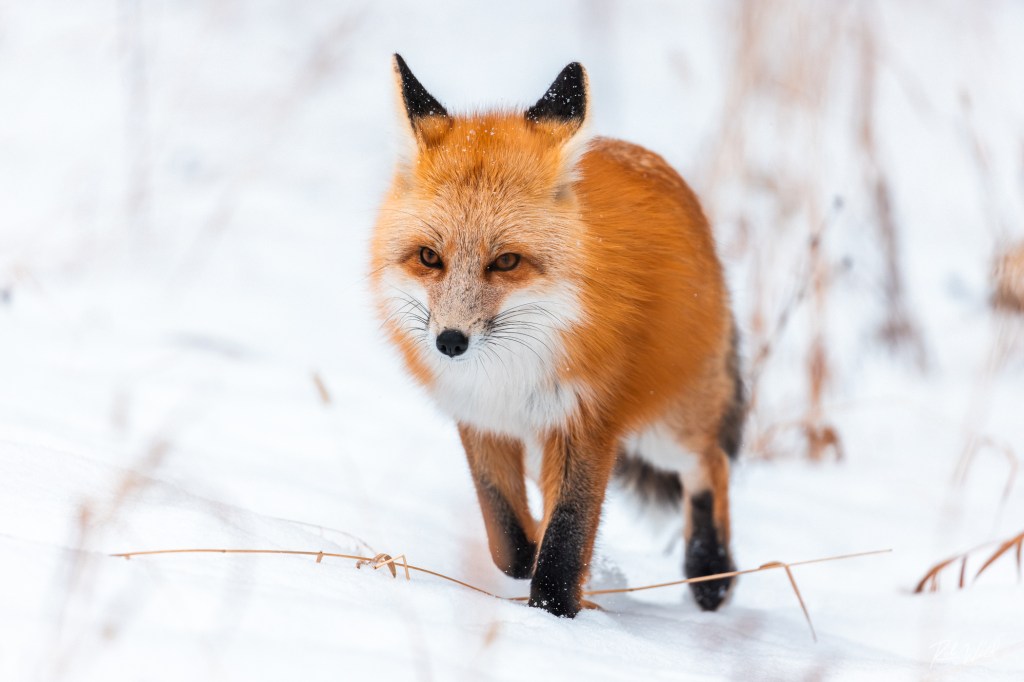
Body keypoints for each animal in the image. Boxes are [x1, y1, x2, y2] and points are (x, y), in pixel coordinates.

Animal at [370, 54, 745, 618]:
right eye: (429, 257)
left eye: (506, 261)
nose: (450, 342)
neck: (507, 374)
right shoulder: (480, 417)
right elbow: (505, 533)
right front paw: (531, 561)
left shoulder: (586, 419)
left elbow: (566, 536)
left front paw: (555, 611)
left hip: (666, 427)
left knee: (712, 464)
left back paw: (710, 570)